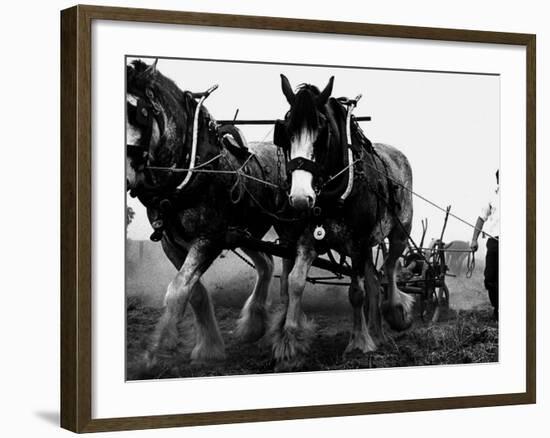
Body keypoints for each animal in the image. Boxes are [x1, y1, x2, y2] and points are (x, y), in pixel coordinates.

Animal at [126, 60, 286, 368]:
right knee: (267, 264)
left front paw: (155, 351)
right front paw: (209, 348)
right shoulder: (172, 243)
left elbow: (177, 291)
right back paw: (253, 326)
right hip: (244, 232)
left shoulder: (208, 239)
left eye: (137, 113)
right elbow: (195, 293)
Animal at [272, 74, 414, 370]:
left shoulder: (357, 242)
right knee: (375, 281)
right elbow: (294, 283)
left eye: (321, 131)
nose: (300, 197)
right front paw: (289, 345)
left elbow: (356, 292)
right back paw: (379, 333)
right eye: (286, 131)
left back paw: (395, 310)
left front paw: (359, 343)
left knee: (390, 268)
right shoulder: (308, 240)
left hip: (399, 231)